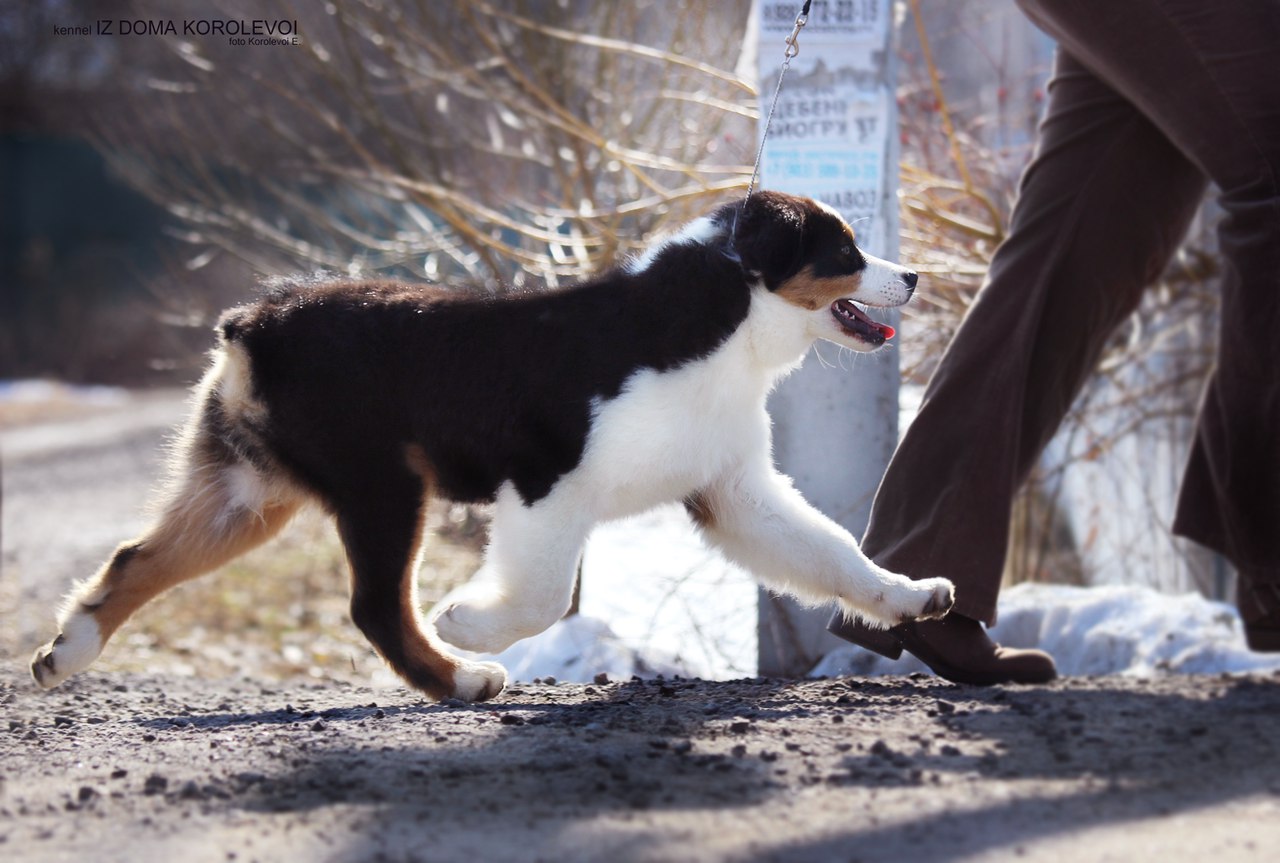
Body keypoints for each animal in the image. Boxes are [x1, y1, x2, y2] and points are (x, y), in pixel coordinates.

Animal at [30, 189, 957, 696]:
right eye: (844, 250)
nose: (913, 276)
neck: (719, 323)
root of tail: (255, 320)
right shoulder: (546, 478)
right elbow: (542, 593)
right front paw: (470, 620)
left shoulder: (735, 490)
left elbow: (830, 551)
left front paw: (914, 596)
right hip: (380, 484)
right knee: (375, 605)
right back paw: (463, 676)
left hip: (247, 491)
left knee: (137, 557)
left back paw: (63, 654)